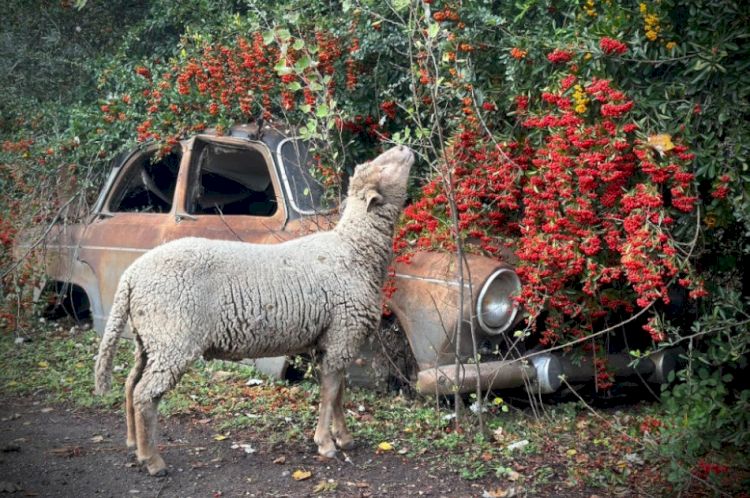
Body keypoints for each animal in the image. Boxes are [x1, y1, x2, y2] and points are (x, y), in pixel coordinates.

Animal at [94, 144, 418, 474]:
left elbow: (338, 392)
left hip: (149, 338)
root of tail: (131, 276)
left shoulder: (332, 339)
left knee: (131, 385)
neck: (354, 249)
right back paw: (153, 460)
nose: (403, 147)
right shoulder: (343, 333)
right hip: (173, 337)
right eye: (383, 168)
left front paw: (343, 437)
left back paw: (134, 444)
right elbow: (330, 393)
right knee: (145, 394)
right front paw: (325, 443)